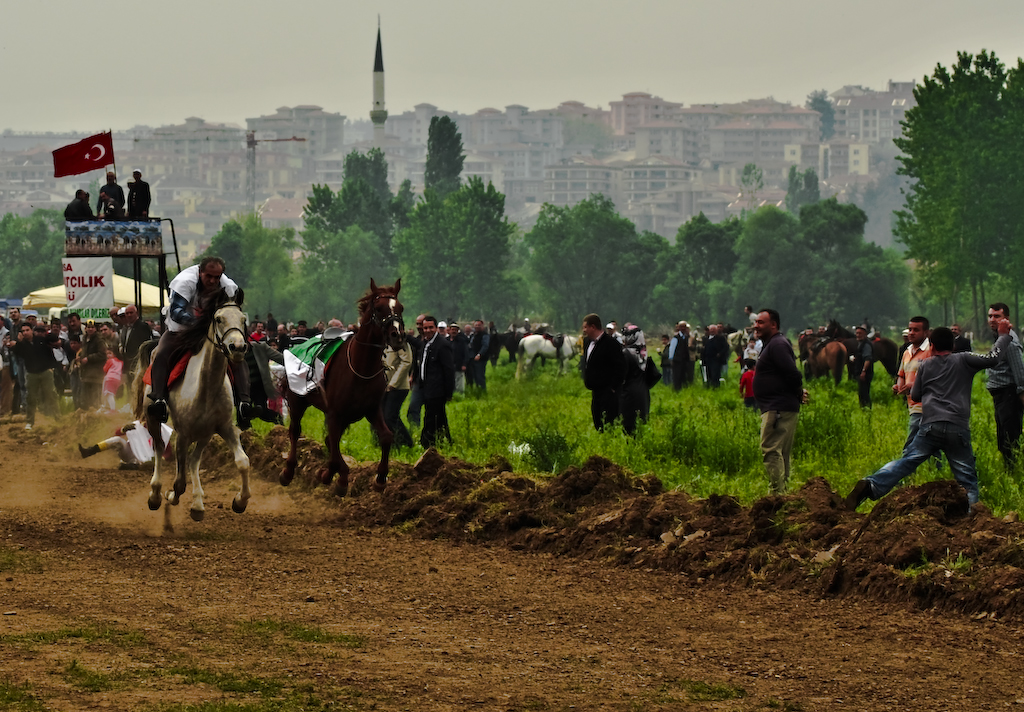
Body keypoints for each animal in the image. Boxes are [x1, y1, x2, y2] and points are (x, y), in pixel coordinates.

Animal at [132, 288, 251, 524]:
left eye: (243, 320)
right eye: (218, 318)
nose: (238, 348)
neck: (206, 387)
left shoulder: (225, 428)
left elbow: (243, 461)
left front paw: (239, 501)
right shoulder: (183, 434)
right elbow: (179, 482)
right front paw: (170, 496)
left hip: (205, 434)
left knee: (194, 460)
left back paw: (197, 502)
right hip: (153, 418)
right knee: (159, 447)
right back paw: (156, 494)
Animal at [284, 278, 407, 495]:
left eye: (400, 307)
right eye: (379, 308)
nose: (397, 336)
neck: (361, 367)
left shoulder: (371, 409)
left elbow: (386, 437)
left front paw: (380, 478)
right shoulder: (334, 413)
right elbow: (333, 450)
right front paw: (337, 478)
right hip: (297, 399)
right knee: (295, 431)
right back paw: (289, 470)